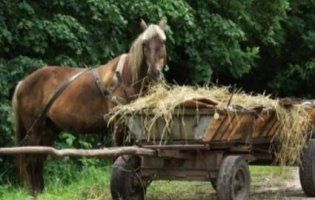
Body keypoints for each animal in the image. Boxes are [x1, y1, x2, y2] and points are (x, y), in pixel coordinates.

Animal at [11, 19, 168, 194]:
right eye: (145, 43)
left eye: (163, 42)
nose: (154, 73)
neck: (125, 77)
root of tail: (23, 83)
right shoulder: (118, 124)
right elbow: (121, 153)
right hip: (35, 129)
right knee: (30, 160)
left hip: (47, 130)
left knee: (38, 159)